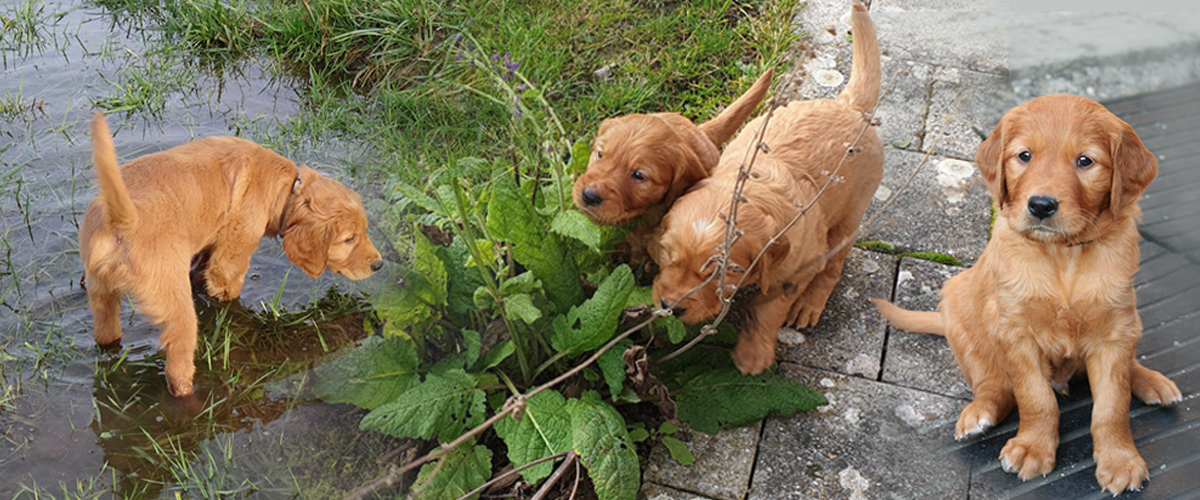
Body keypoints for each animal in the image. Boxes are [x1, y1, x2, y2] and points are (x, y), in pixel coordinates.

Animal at [81, 113, 379, 398]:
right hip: (177, 309)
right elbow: (228, 288)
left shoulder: (207, 249)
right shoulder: (229, 260)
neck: (286, 187)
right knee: (178, 367)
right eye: (349, 239)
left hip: (100, 293)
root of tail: (124, 220)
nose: (379, 264)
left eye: (364, 231)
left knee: (105, 331)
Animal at [652, 0, 878, 374]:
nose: (670, 306)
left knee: (834, 265)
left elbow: (768, 309)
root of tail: (848, 105)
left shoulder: (797, 267)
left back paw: (809, 305)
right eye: (667, 254)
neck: (746, 194)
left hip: (851, 213)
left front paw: (752, 354)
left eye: (719, 274)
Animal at [873, 94, 1180, 494]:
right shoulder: (1016, 331)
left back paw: (1152, 382)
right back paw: (980, 413)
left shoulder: (1114, 333)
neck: (1064, 255)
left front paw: (1119, 460)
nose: (1041, 205)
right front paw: (1032, 448)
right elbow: (1035, 396)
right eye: (1024, 156)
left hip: (1132, 323)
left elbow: (1112, 405)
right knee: (992, 383)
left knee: (1128, 369)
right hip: (957, 308)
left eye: (1085, 161)